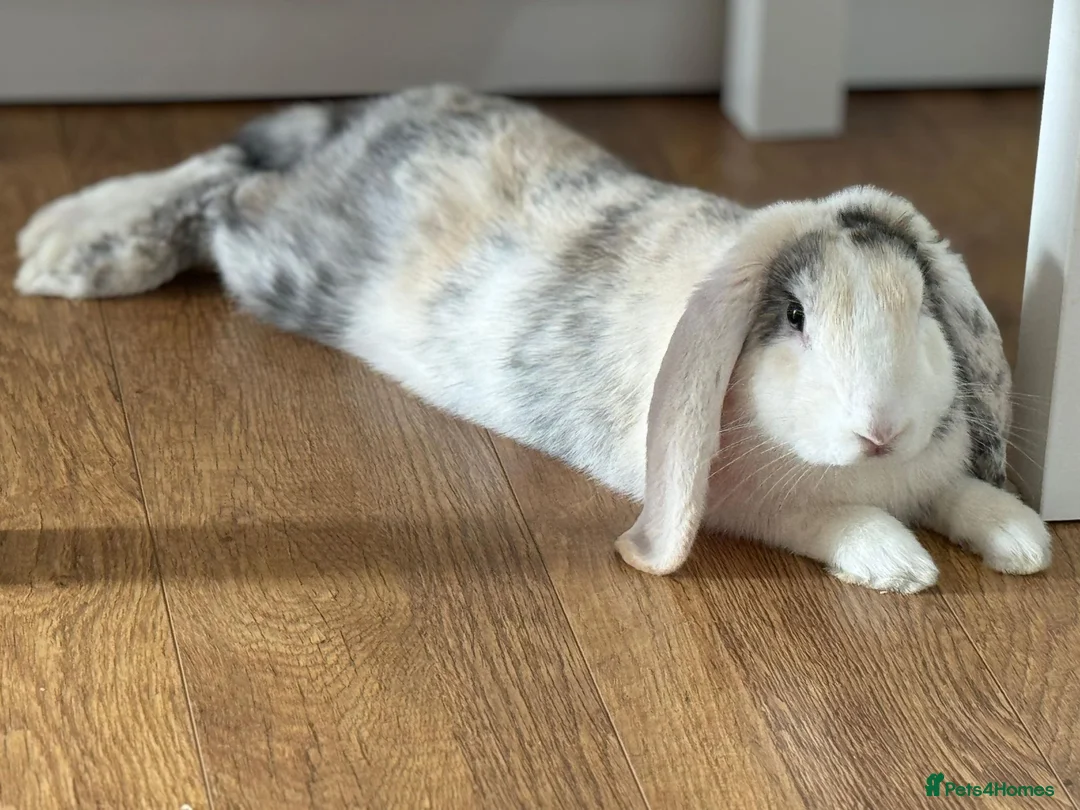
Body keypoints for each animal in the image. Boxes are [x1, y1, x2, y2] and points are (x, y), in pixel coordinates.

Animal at [14, 84, 1052, 593]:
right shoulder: (746, 502)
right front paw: (901, 568)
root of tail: (385, 108)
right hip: (280, 255)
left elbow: (961, 495)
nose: (881, 429)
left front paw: (1024, 542)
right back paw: (74, 249)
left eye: (922, 308)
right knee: (221, 181)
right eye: (794, 317)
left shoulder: (931, 471)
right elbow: (832, 519)